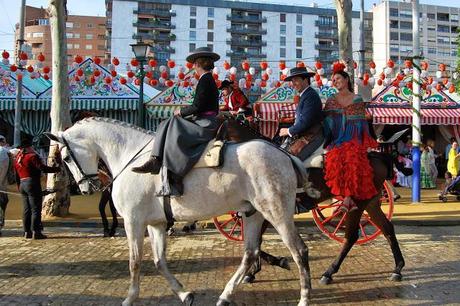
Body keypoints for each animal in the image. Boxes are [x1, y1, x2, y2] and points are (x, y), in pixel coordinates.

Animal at [45, 118, 312, 306]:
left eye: (66, 157)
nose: (87, 187)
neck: (130, 158)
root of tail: (285, 155)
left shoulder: (133, 221)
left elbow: (135, 262)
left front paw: (130, 297)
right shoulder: (156, 224)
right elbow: (159, 262)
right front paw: (184, 294)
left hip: (276, 212)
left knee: (299, 251)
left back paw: (303, 297)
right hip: (253, 214)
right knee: (250, 253)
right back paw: (226, 295)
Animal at [223, 114, 406, 284]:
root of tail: (375, 155)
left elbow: (255, 241)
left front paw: (269, 265)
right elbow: (255, 241)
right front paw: (254, 271)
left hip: (358, 204)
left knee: (351, 236)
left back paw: (329, 272)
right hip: (371, 203)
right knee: (387, 228)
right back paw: (397, 268)